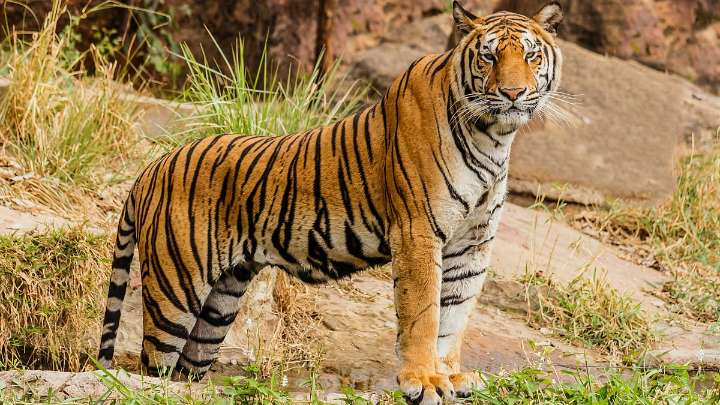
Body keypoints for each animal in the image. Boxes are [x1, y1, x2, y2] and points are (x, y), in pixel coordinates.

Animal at [97, 1, 563, 403]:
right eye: (488, 57)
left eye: (531, 56)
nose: (513, 93)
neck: (494, 137)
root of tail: (151, 167)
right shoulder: (418, 232)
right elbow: (424, 314)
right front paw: (424, 381)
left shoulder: (473, 244)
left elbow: (454, 316)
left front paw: (450, 376)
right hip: (175, 291)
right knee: (152, 366)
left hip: (219, 304)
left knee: (185, 370)